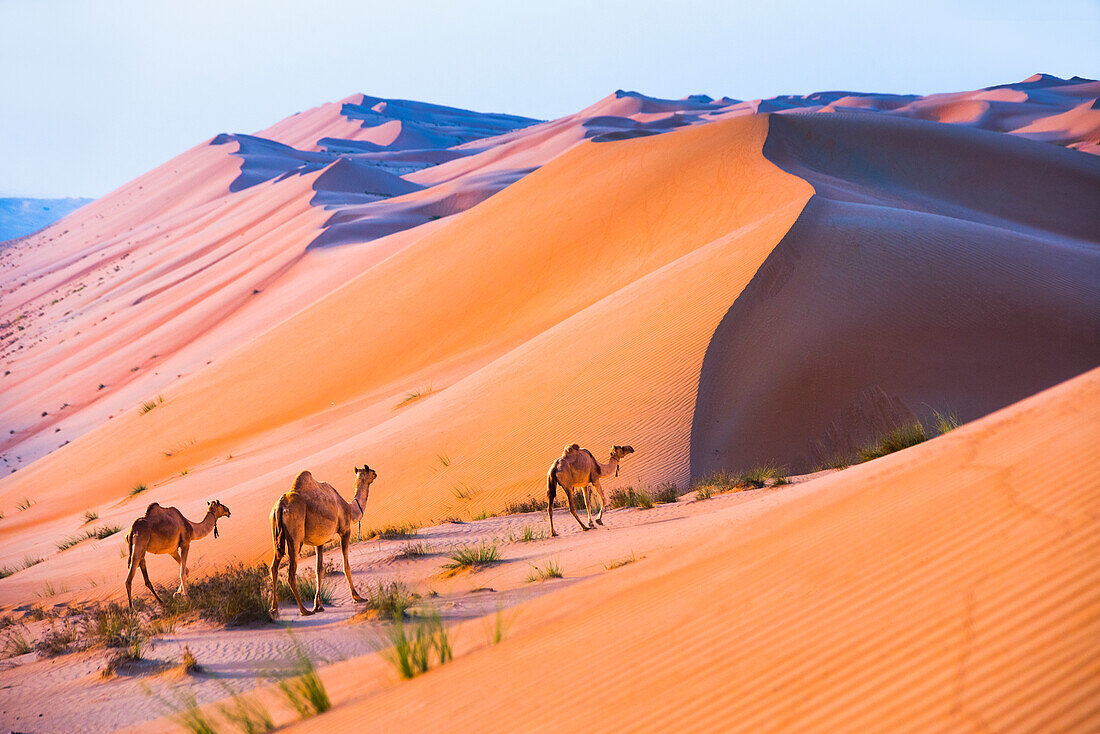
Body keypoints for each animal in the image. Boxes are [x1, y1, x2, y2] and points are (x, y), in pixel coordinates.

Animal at [268, 468, 376, 616]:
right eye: (369, 470)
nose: (376, 473)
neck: (350, 509)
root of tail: (280, 506)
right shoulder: (345, 530)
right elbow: (346, 566)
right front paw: (357, 597)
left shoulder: (319, 542)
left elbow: (319, 570)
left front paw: (318, 605)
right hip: (295, 537)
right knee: (291, 574)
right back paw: (304, 610)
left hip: (275, 532)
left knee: (274, 567)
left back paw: (274, 609)